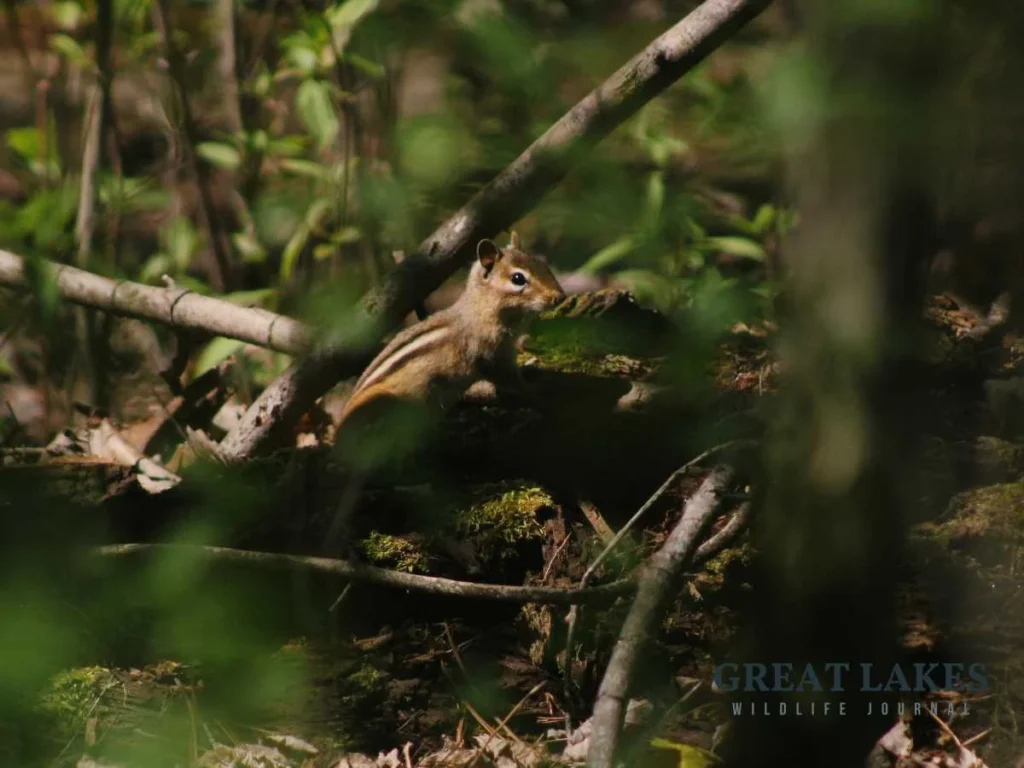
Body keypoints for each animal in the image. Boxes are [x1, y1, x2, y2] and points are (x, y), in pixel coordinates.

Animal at [337, 232, 566, 431]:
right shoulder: (489, 356)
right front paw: (535, 389)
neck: (481, 309)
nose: (560, 297)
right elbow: (510, 379)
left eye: (543, 264)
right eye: (518, 279)